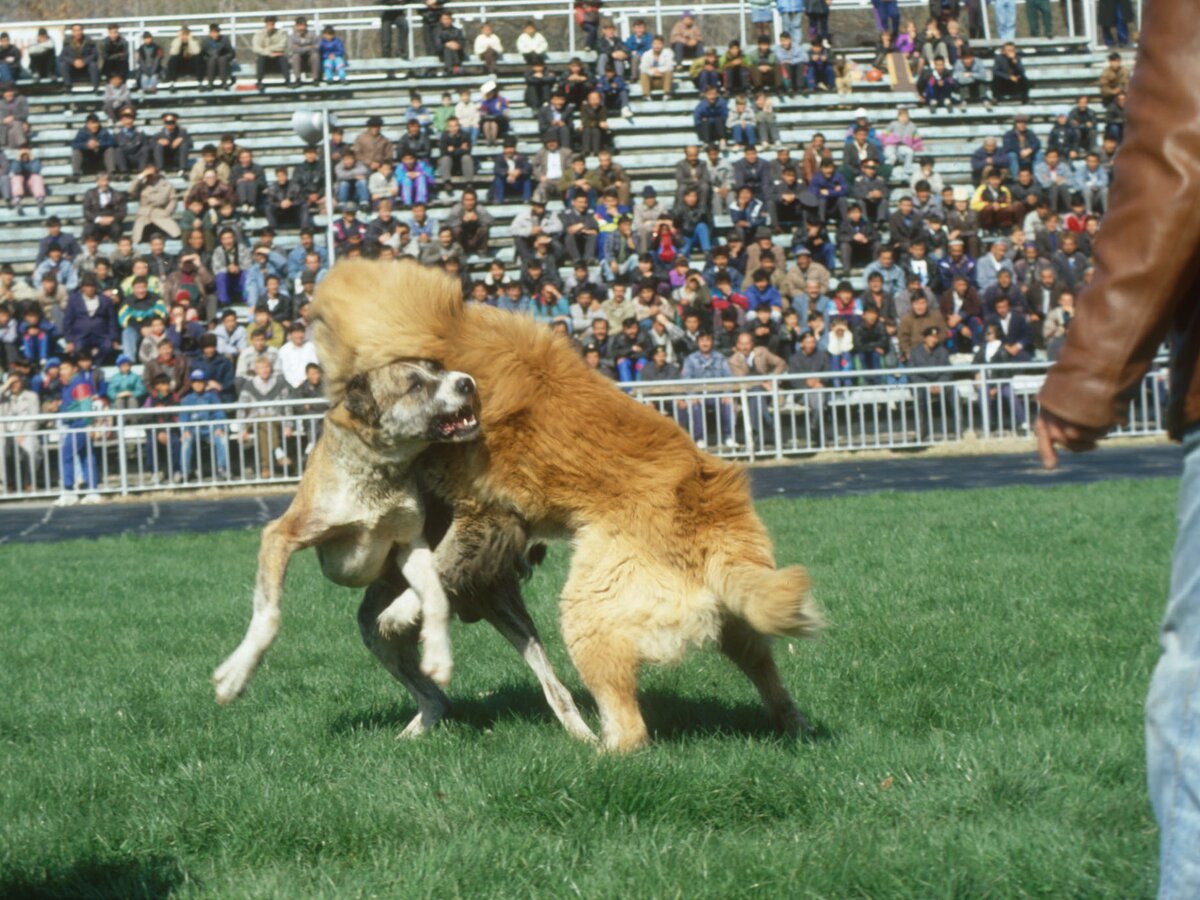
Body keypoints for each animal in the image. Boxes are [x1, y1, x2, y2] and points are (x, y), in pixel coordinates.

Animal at [314, 260, 825, 753]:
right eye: (415, 384)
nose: (465, 385)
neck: (453, 334)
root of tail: (713, 523)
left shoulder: (484, 514)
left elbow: (439, 568)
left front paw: (399, 613)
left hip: (589, 612)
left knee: (630, 725)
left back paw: (598, 752)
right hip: (736, 620)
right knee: (764, 668)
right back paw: (793, 723)